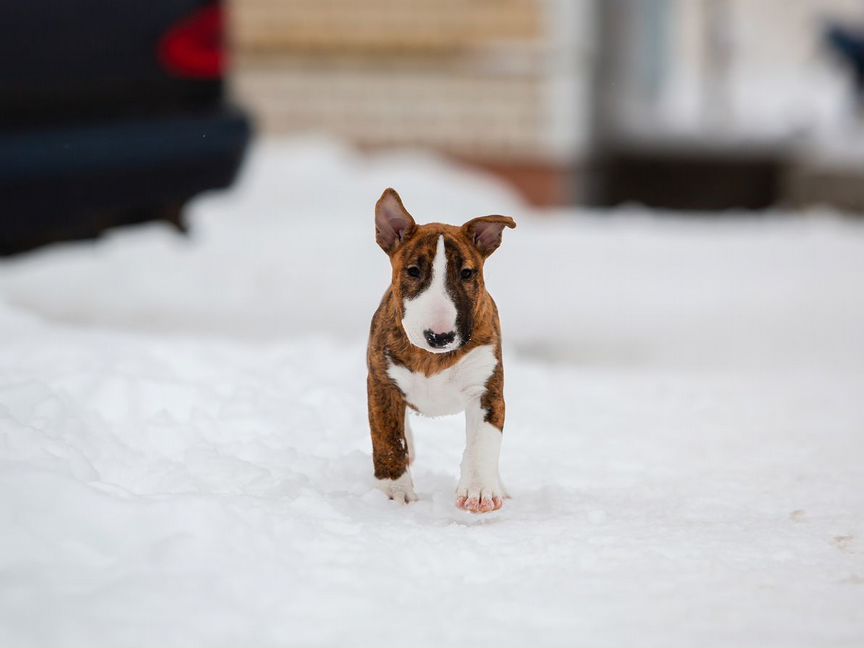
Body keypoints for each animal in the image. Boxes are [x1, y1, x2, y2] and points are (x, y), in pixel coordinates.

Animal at [368, 189, 516, 516]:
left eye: (467, 273)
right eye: (413, 271)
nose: (441, 337)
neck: (431, 358)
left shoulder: (486, 390)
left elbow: (483, 441)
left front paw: (479, 491)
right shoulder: (381, 383)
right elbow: (387, 438)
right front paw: (395, 492)